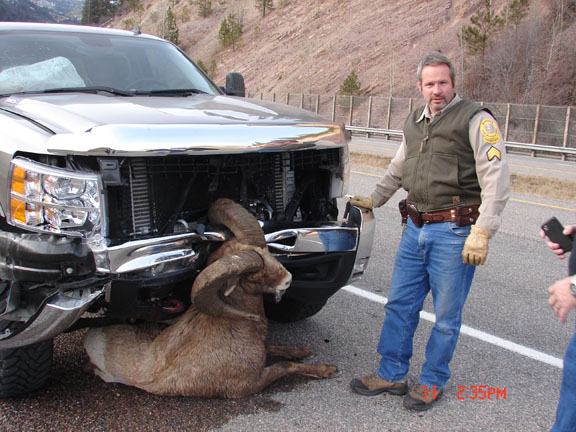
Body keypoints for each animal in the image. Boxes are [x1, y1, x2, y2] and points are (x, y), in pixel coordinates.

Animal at [83, 197, 340, 396]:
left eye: (267, 252)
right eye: (255, 276)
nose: (287, 279)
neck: (236, 324)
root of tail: (93, 337)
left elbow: (276, 348)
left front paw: (302, 351)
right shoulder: (249, 385)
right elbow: (286, 366)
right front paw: (327, 370)